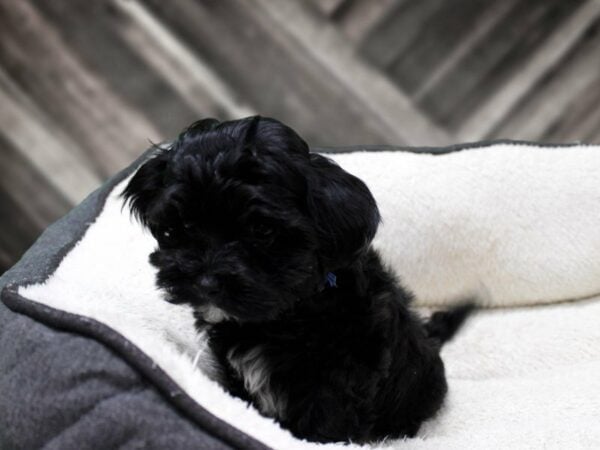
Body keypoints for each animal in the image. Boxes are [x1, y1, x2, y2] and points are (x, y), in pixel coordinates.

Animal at [124, 116, 476, 442]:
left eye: (262, 230)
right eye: (182, 226)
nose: (206, 282)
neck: (291, 312)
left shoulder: (336, 385)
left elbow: (325, 427)